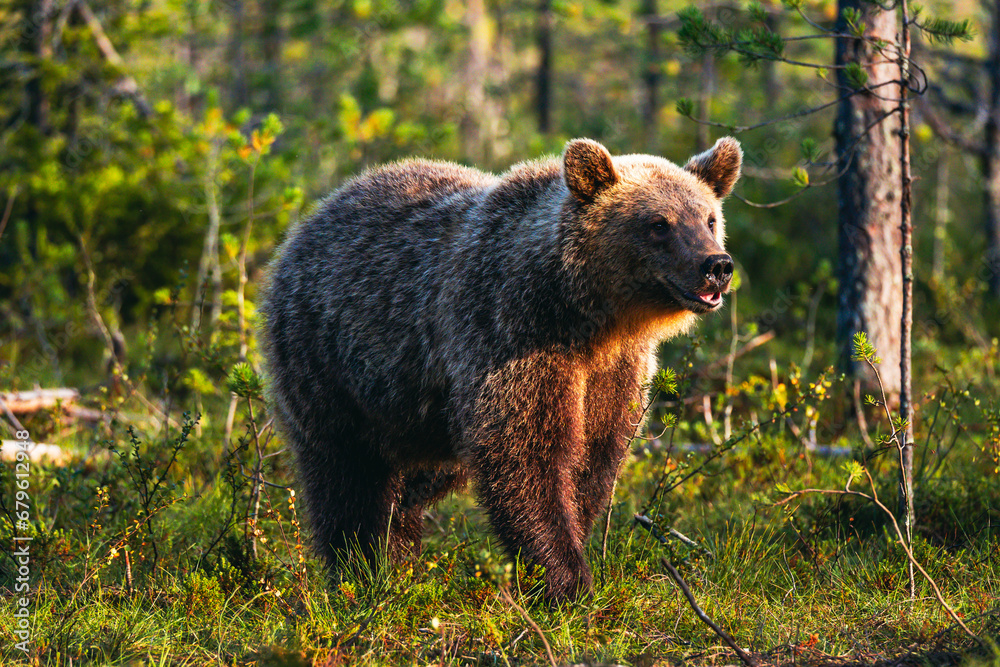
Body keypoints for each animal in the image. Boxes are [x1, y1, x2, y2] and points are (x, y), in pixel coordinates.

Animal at [260, 136, 741, 601]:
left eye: (708, 219)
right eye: (659, 223)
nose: (716, 265)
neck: (590, 315)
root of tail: (307, 223)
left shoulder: (615, 370)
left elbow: (594, 457)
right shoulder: (509, 334)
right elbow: (525, 454)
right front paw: (566, 582)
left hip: (419, 411)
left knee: (417, 477)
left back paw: (398, 551)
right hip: (326, 359)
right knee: (344, 472)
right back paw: (360, 570)